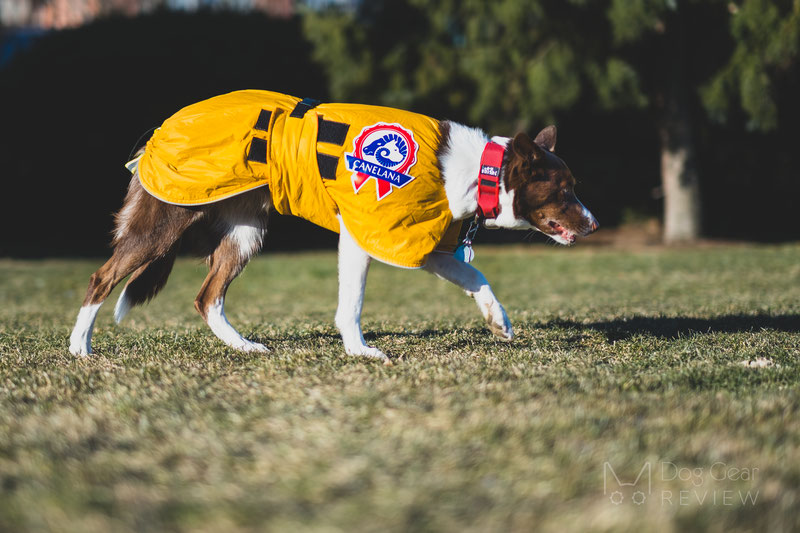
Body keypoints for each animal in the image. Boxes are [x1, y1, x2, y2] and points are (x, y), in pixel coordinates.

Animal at [69, 90, 596, 362]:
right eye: (564, 191)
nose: (593, 225)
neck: (474, 171)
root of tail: (162, 128)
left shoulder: (418, 241)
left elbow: (476, 275)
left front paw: (498, 321)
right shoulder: (364, 233)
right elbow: (352, 304)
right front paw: (360, 352)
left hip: (244, 232)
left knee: (207, 298)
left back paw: (244, 346)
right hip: (163, 221)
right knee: (101, 278)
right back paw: (80, 348)